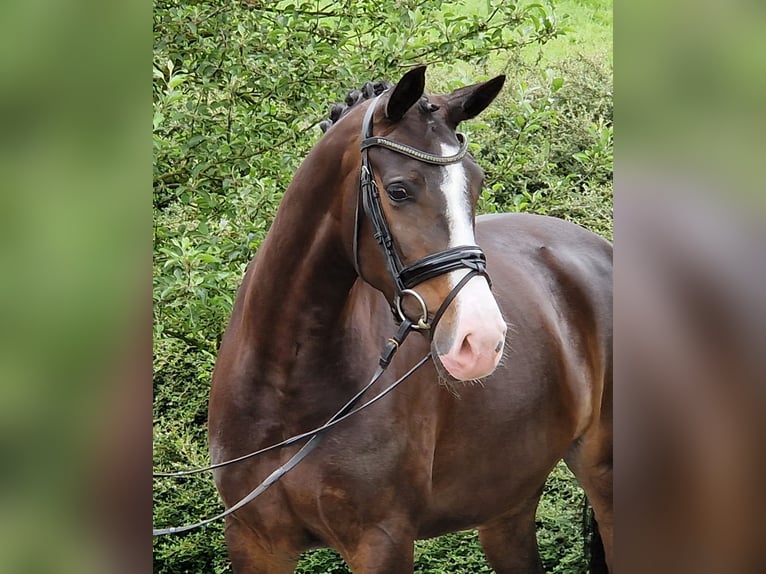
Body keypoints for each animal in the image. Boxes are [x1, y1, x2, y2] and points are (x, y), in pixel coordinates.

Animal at [207, 65, 616, 572]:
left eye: (476, 184)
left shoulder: (382, 540)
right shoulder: (255, 541)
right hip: (507, 505)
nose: (481, 339)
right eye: (399, 190)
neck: (284, 380)